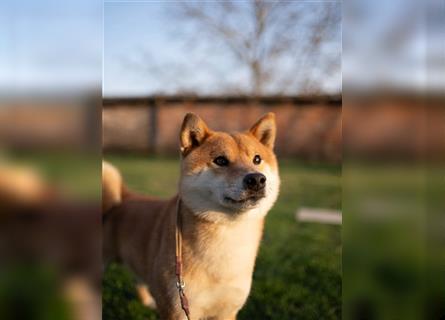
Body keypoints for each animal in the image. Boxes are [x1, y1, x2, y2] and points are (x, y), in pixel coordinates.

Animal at [102, 112, 280, 318]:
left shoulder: (227, 310)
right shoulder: (177, 308)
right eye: (221, 160)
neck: (228, 235)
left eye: (257, 159)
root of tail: (124, 196)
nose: (257, 179)